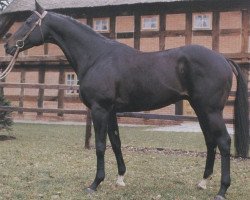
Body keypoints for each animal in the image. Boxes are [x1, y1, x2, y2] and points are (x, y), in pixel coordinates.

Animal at [4, 1, 250, 200]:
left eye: (28, 21)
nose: (8, 46)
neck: (97, 56)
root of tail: (223, 59)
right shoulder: (111, 111)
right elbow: (116, 142)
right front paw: (120, 178)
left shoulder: (100, 109)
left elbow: (100, 145)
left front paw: (95, 183)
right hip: (200, 110)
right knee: (210, 142)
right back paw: (203, 182)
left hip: (211, 111)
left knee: (224, 141)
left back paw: (222, 190)